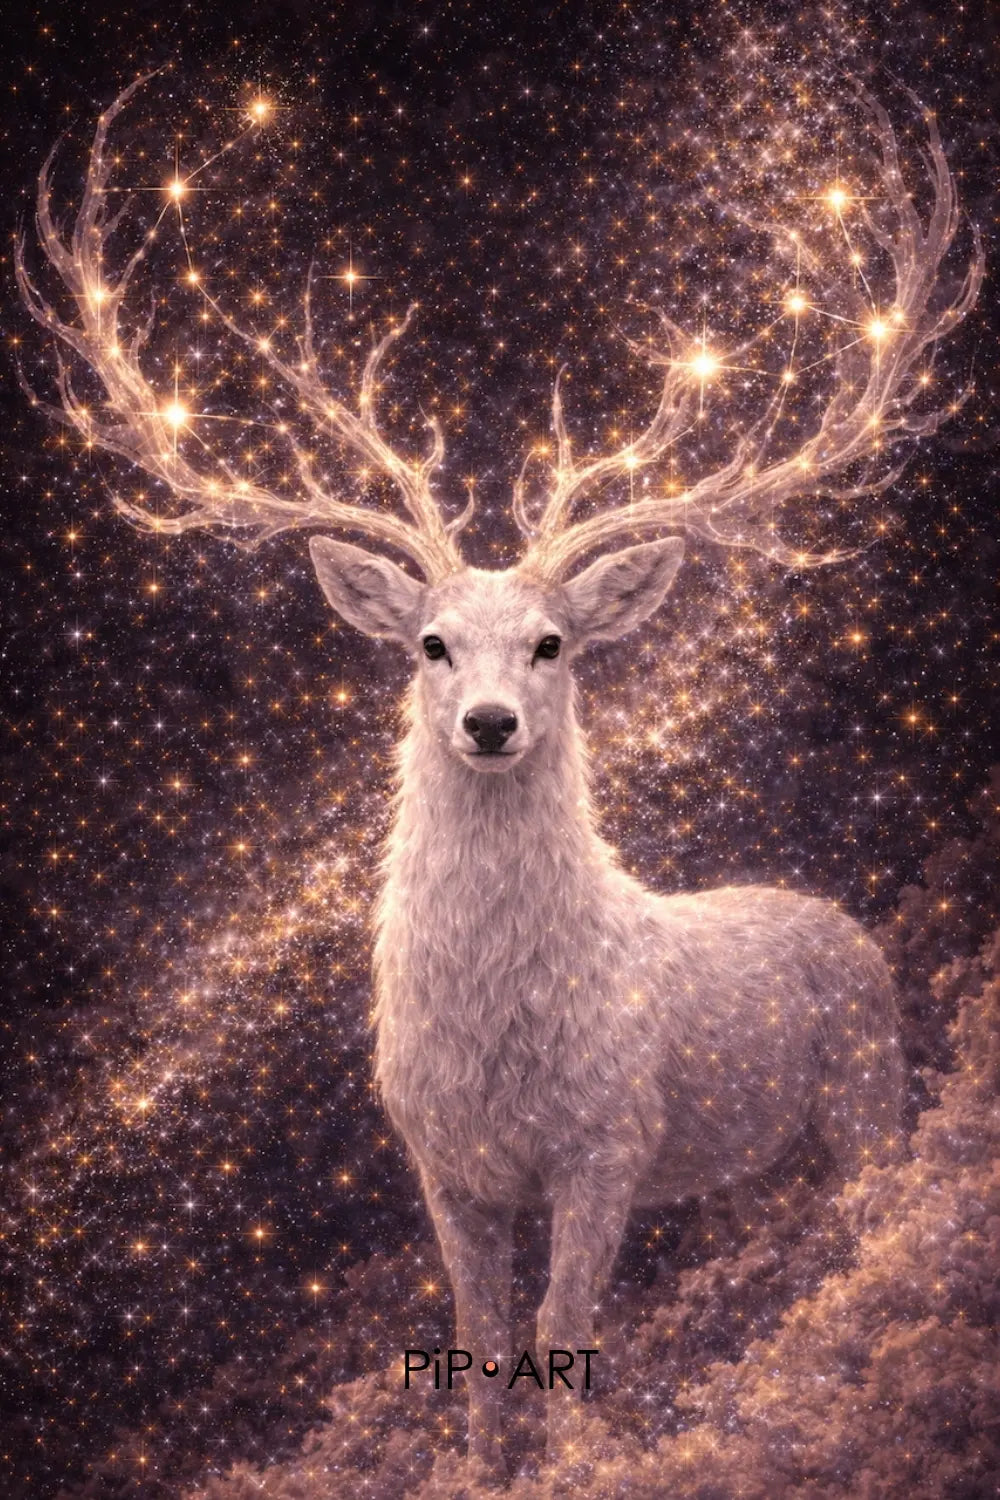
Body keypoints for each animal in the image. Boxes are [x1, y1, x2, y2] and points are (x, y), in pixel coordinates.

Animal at [16, 79, 982, 1481]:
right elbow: (477, 1344)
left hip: (868, 1082)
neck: (498, 1039)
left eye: (552, 642)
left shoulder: (607, 1140)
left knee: (872, 1209)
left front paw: (581, 1465)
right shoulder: (443, 1165)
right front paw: (480, 1467)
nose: (486, 721)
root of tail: (838, 917)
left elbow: (563, 1334)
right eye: (429, 642)